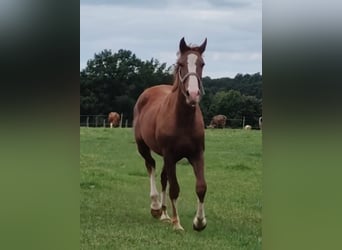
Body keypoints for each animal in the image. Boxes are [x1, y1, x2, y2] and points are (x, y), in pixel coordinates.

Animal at [134, 37, 208, 230]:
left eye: (202, 64)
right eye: (181, 64)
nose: (193, 94)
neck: (183, 121)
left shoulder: (197, 154)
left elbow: (201, 187)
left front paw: (199, 222)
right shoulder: (169, 155)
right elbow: (175, 188)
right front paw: (177, 223)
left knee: (163, 177)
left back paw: (164, 213)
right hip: (143, 147)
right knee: (151, 165)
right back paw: (155, 207)